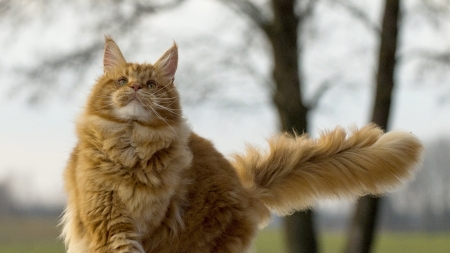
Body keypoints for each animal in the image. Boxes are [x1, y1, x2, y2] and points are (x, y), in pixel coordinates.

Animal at [61, 36, 424, 253]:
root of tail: (246, 189)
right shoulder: (109, 222)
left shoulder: (141, 226)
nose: (135, 87)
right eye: (122, 81)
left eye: (150, 84)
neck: (131, 145)